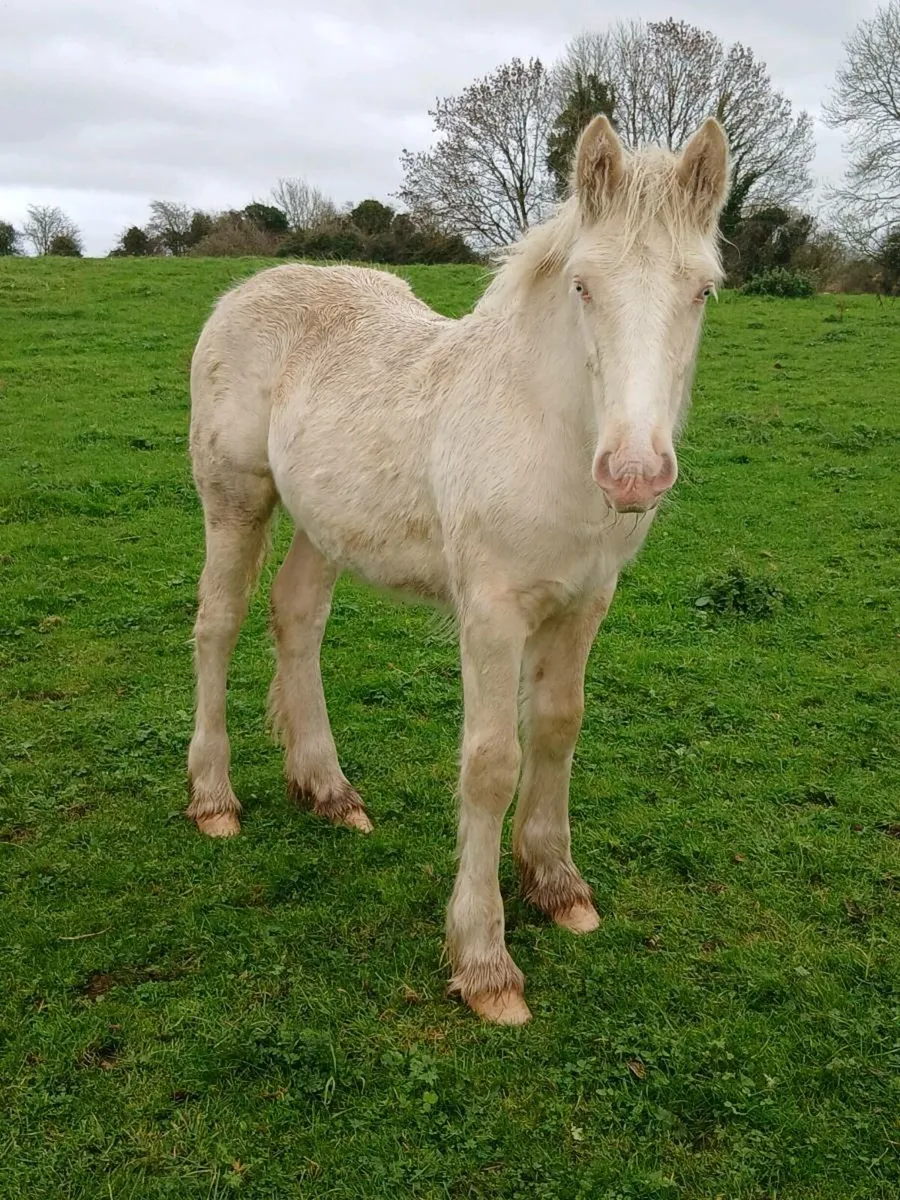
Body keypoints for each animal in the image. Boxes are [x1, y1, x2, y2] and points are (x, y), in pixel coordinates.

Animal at [185, 115, 731, 1024]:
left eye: (703, 291)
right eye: (584, 286)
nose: (634, 474)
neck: (543, 427)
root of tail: (248, 289)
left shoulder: (584, 602)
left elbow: (559, 728)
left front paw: (558, 885)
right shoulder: (492, 611)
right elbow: (490, 764)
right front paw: (485, 962)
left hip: (325, 524)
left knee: (296, 615)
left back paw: (328, 790)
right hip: (236, 500)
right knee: (217, 627)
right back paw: (215, 800)